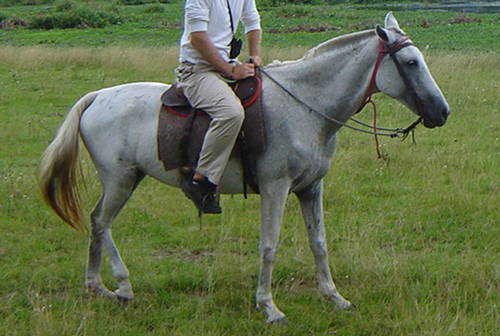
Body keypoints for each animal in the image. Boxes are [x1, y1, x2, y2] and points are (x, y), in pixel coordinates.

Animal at [39, 14, 450, 324]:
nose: (442, 112)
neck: (306, 106)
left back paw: (98, 286)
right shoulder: (275, 188)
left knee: (98, 223)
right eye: (410, 63)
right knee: (100, 221)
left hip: (127, 179)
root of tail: (97, 97)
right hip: (121, 180)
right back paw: (119, 285)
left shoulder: (311, 188)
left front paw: (334, 297)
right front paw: (268, 307)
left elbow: (319, 242)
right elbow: (269, 245)